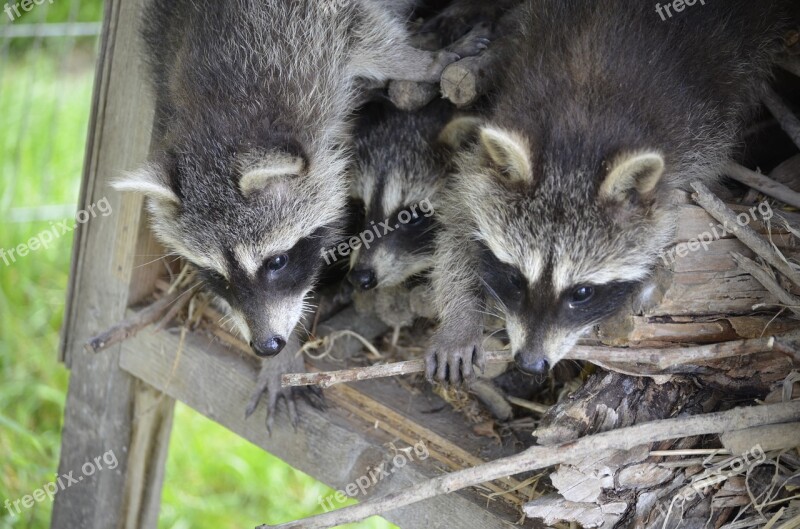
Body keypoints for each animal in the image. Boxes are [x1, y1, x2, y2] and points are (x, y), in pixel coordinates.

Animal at [424, 0, 792, 382]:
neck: (577, 139)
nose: (530, 364)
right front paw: (460, 319)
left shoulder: (701, 138)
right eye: (515, 278)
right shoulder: (485, 156)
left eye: (582, 292)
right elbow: (457, 217)